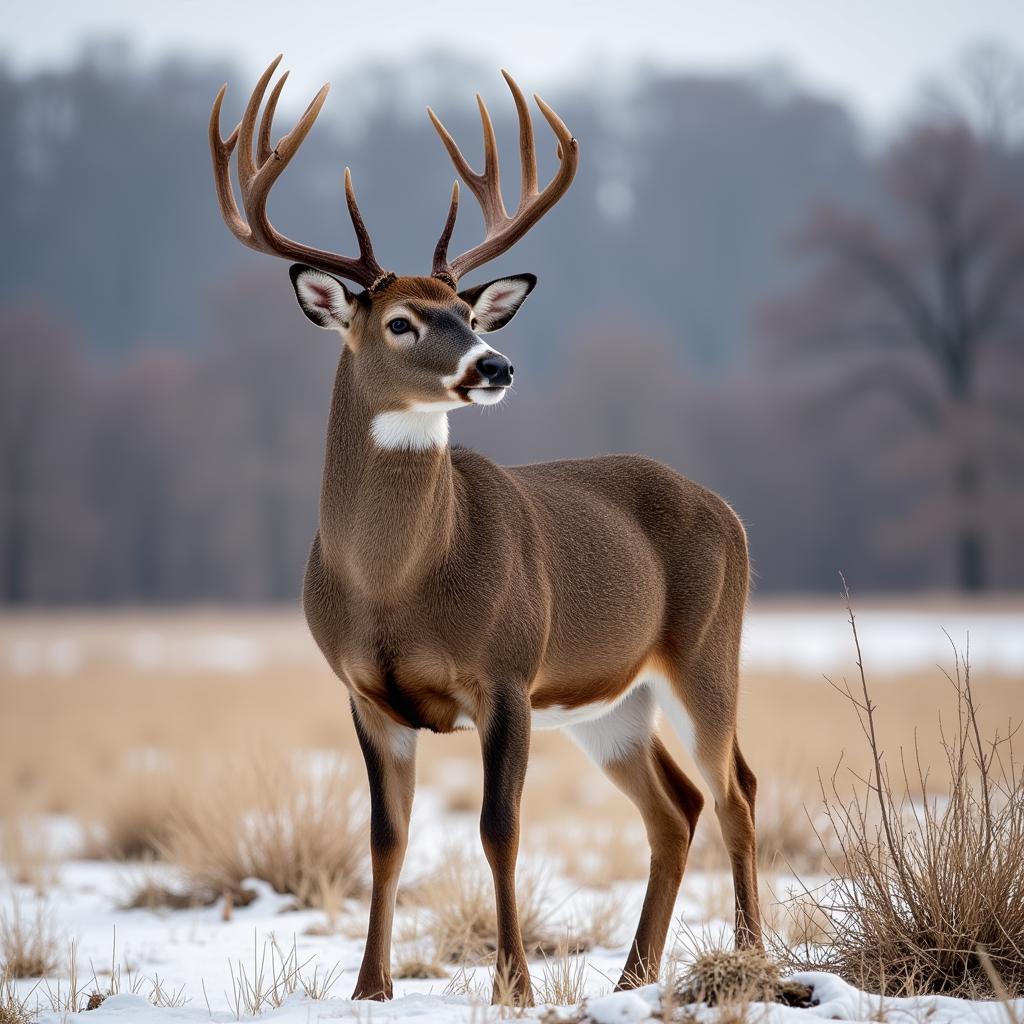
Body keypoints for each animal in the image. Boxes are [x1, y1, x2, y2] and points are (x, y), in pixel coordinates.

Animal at [207, 54, 761, 999]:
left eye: (467, 312)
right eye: (401, 320)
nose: (495, 364)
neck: (393, 584)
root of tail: (728, 511)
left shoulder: (506, 673)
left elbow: (500, 827)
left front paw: (515, 986)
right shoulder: (364, 693)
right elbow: (385, 839)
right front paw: (370, 988)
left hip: (703, 652)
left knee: (736, 793)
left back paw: (751, 959)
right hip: (611, 703)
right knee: (676, 808)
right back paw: (632, 978)